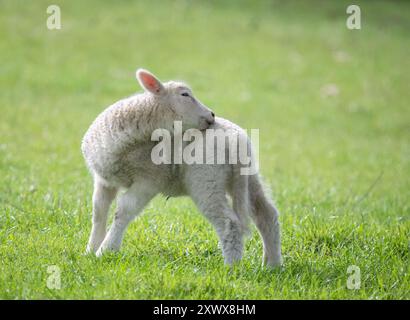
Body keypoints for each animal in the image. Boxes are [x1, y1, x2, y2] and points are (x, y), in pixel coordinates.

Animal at [82, 69, 284, 266]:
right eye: (185, 94)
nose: (212, 115)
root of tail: (236, 140)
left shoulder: (150, 180)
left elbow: (123, 211)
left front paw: (105, 250)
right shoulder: (104, 179)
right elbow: (98, 211)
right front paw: (90, 249)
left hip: (205, 180)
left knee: (229, 223)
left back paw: (231, 267)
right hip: (248, 175)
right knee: (267, 214)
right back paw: (273, 266)